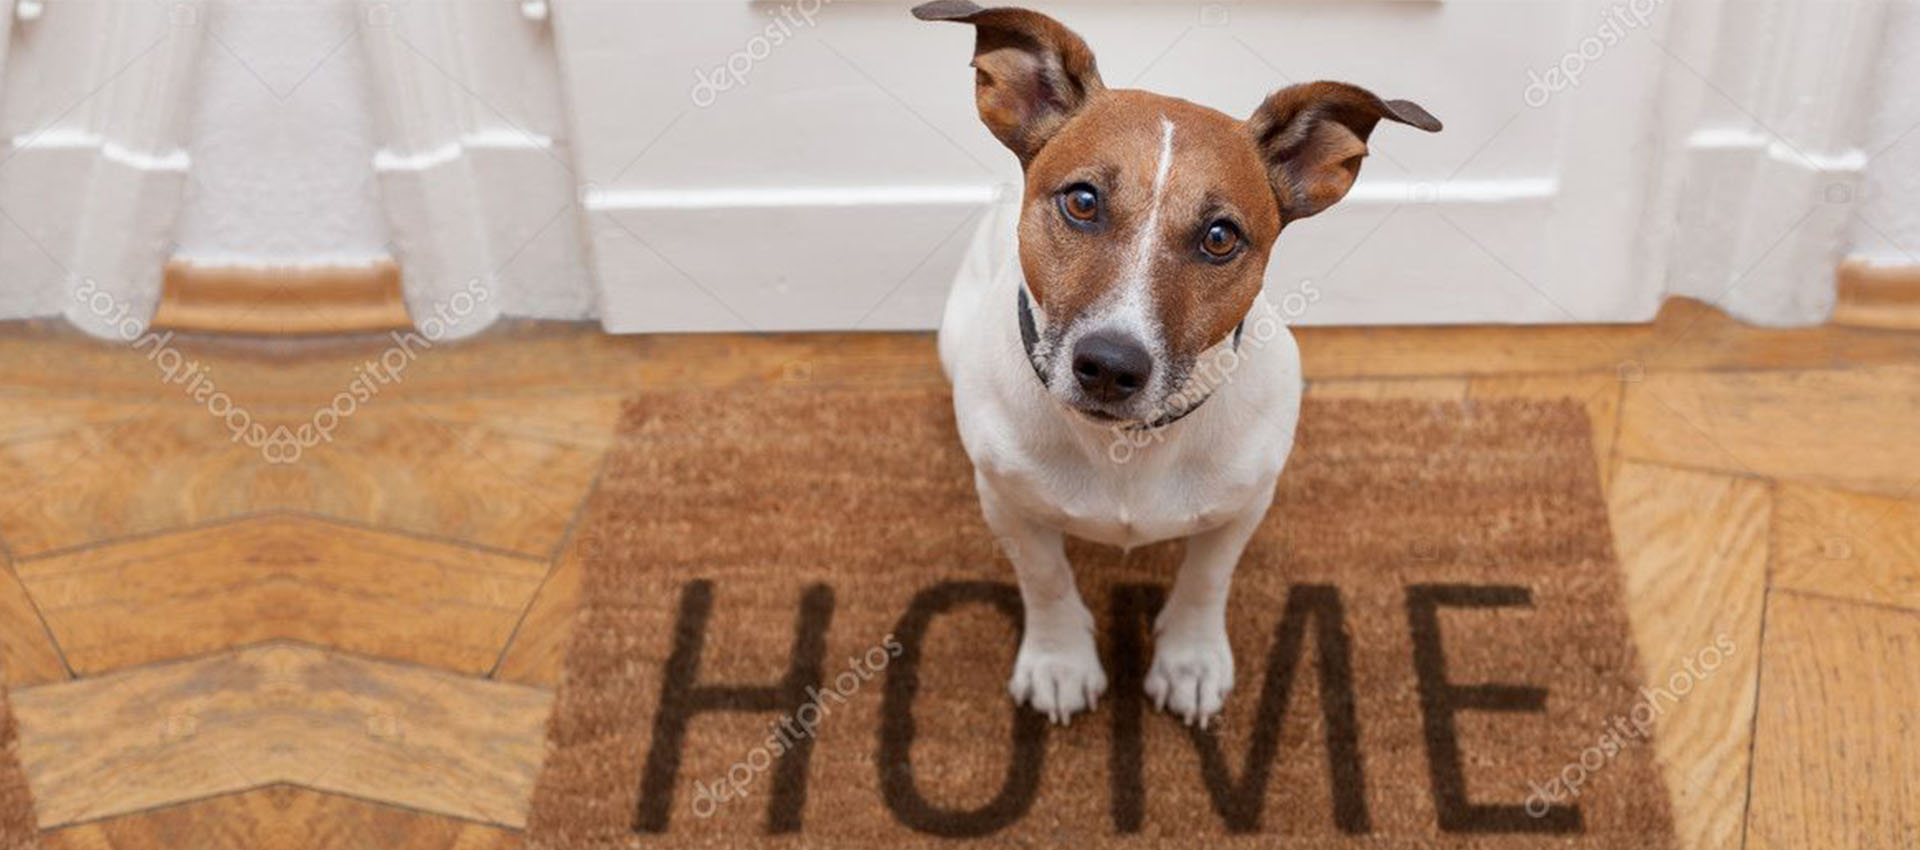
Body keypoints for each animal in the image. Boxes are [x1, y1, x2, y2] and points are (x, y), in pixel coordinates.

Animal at [917, 3, 1443, 729]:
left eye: (1220, 237)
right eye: (1082, 201)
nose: (1110, 366)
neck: (1126, 446)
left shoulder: (1244, 505)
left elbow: (1206, 579)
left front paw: (1190, 661)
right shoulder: (1007, 503)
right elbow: (1045, 578)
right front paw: (1059, 660)